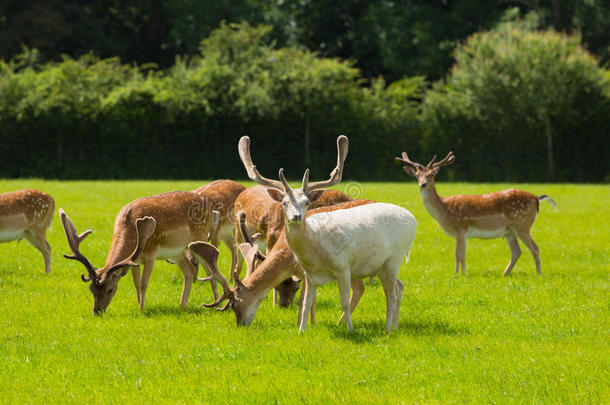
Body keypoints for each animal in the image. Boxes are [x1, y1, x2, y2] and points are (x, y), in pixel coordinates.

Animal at [58, 191, 221, 314]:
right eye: (91, 289)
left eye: (110, 290)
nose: (97, 311)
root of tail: (209, 203)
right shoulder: (135, 261)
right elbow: (136, 284)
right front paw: (138, 306)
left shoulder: (151, 254)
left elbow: (143, 283)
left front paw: (142, 309)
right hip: (178, 251)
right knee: (189, 271)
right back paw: (182, 305)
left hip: (200, 237)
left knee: (208, 270)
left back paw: (215, 304)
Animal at [235, 136, 416, 332]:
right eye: (284, 202)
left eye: (306, 202)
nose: (240, 323)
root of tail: (412, 218)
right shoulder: (310, 274)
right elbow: (307, 302)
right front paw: (302, 330)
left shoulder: (342, 267)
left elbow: (334, 301)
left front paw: (347, 329)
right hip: (379, 265)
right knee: (398, 286)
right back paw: (394, 325)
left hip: (394, 258)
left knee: (387, 292)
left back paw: (386, 328)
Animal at [394, 152, 556, 274]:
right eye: (417, 176)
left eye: (432, 175)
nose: (423, 184)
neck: (444, 210)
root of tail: (536, 198)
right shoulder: (461, 233)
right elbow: (461, 255)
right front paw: (461, 274)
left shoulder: (461, 228)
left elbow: (459, 254)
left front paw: (459, 275)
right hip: (510, 230)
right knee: (517, 252)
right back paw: (504, 274)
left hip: (523, 225)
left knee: (535, 248)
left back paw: (539, 274)